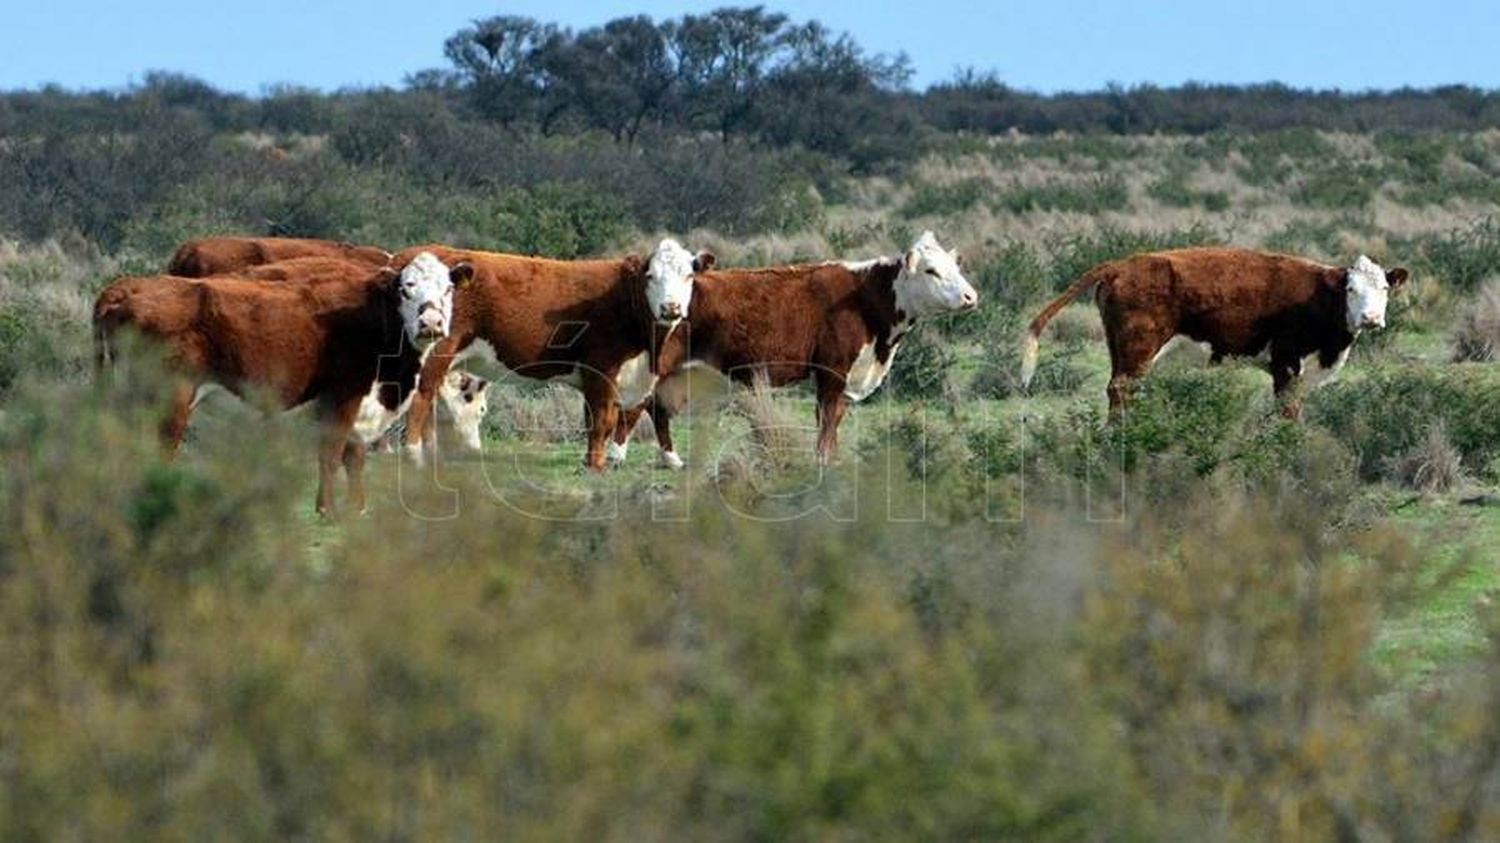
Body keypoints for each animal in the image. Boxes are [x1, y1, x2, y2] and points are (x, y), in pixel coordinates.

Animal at [93, 250, 462, 513]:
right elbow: (331, 453)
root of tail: (126, 287)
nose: (431, 322)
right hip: (170, 398)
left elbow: (354, 457)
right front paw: (327, 509)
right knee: (161, 450)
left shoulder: (360, 405)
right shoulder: (342, 397)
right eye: (406, 290)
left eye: (448, 289)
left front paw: (357, 507)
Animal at [396, 240, 705, 468]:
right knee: (419, 401)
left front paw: (591, 461)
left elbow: (599, 420)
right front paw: (597, 466)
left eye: (689, 276)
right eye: (651, 277)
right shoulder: (601, 369)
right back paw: (413, 457)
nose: (671, 307)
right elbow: (601, 420)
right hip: (432, 353)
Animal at [612, 229, 984, 465]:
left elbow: (834, 421)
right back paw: (617, 457)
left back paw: (672, 459)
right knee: (636, 406)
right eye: (932, 271)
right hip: (654, 365)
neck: (863, 298)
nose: (970, 296)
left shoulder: (845, 378)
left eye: (955, 267)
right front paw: (822, 461)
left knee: (655, 409)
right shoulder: (832, 372)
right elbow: (826, 421)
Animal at [1020, 246, 1404, 417]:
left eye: (1384, 288)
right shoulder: (1286, 363)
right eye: (1351, 289)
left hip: (1120, 349)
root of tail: (1121, 265)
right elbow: (1287, 409)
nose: (1371, 317)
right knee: (1121, 389)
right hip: (1138, 349)